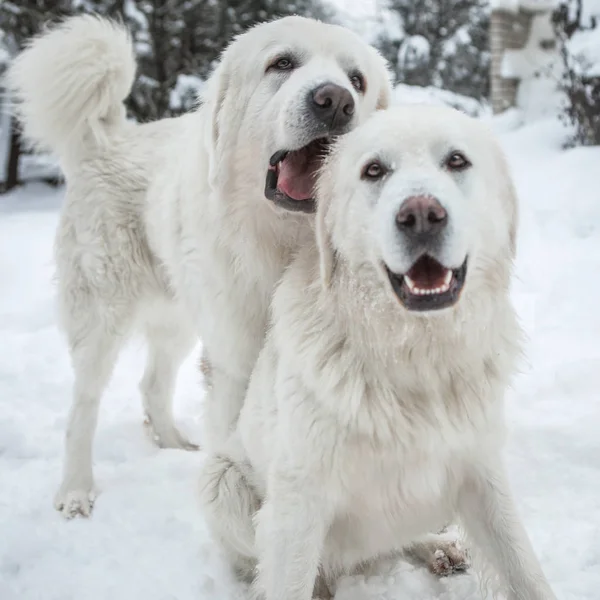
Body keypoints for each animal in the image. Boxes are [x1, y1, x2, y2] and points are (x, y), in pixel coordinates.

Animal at [7, 16, 392, 516]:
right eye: (282, 64)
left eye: (357, 81)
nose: (336, 101)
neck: (286, 245)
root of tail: (109, 139)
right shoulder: (236, 364)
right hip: (101, 316)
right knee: (83, 407)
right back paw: (75, 491)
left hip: (178, 319)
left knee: (152, 384)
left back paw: (173, 444)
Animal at [198, 108, 556, 600]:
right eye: (373, 170)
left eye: (457, 161)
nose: (421, 215)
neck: (414, 356)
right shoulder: (297, 503)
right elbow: (287, 579)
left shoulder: (481, 473)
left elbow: (524, 570)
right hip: (222, 484)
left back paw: (437, 548)